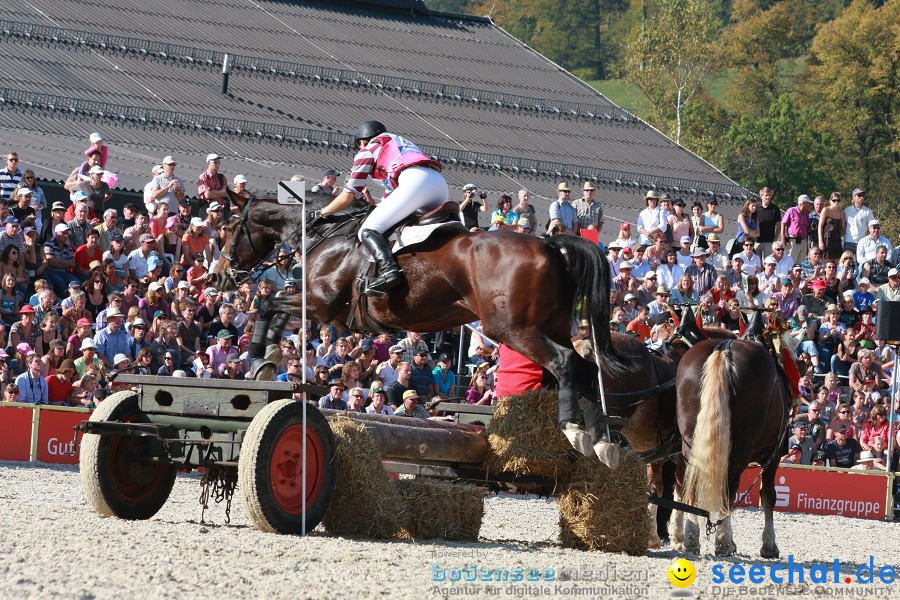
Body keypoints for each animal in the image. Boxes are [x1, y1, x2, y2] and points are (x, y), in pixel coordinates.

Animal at [207, 189, 628, 464]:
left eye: (231, 227)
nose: (220, 276)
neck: (323, 236)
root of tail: (551, 245)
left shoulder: (321, 304)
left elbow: (267, 306)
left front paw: (258, 357)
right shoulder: (320, 310)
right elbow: (275, 311)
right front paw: (270, 357)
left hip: (513, 329)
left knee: (566, 364)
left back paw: (576, 431)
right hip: (549, 325)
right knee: (585, 367)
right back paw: (601, 441)